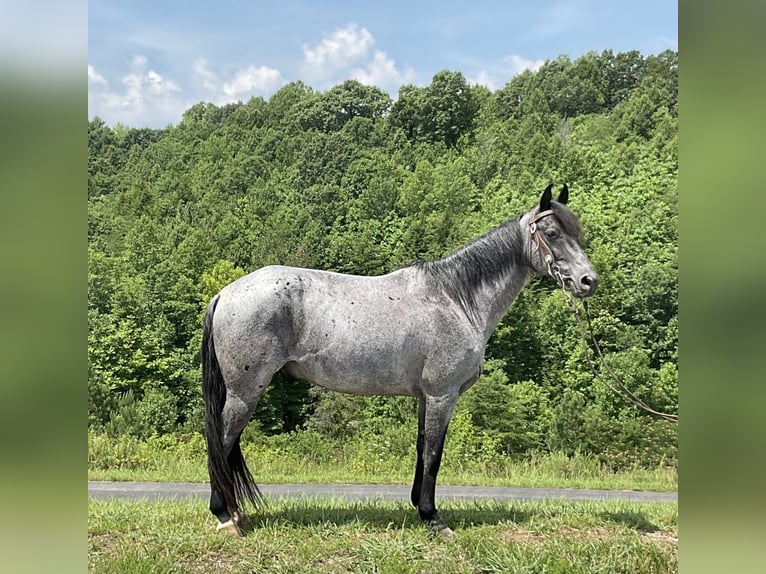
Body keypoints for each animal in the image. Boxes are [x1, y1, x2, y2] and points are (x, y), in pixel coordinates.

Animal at [201, 184, 596, 540]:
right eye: (551, 233)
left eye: (577, 233)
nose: (588, 281)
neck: (456, 299)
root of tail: (225, 294)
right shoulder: (442, 395)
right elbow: (435, 454)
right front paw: (434, 518)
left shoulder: (425, 398)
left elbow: (422, 449)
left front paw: (419, 508)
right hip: (245, 391)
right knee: (222, 441)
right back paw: (226, 518)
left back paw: (237, 513)